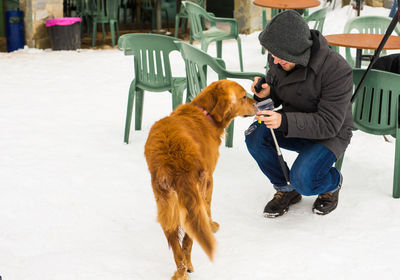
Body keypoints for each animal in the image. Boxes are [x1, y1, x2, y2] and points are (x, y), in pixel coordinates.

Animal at [144, 80, 256, 278]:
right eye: (244, 96)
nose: (257, 103)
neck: (206, 113)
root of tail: (175, 160)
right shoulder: (210, 179)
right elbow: (209, 209)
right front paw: (211, 226)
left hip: (165, 201)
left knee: (176, 244)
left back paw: (181, 272)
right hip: (196, 196)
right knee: (189, 238)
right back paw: (188, 265)